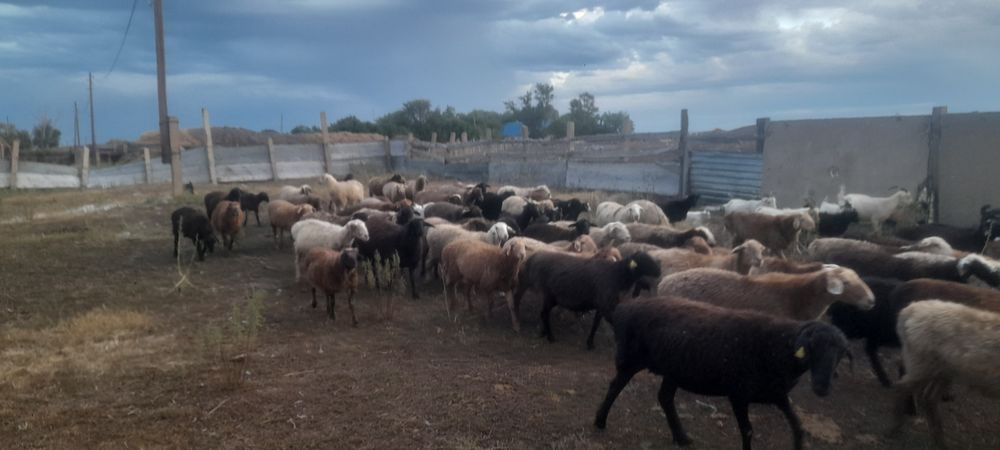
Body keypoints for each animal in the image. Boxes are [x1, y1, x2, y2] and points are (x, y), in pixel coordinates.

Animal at [512, 250, 660, 349]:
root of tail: (534, 259)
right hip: (550, 295)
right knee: (544, 313)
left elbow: (596, 323)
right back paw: (550, 337)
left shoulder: (601, 304)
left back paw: (544, 333)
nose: (659, 271)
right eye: (644, 261)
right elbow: (615, 321)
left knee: (544, 313)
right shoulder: (606, 304)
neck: (616, 275)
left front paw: (590, 343)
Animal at [595, 296, 850, 450]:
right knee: (615, 386)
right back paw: (600, 421)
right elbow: (748, 430)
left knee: (665, 397)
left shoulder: (777, 394)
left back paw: (682, 437)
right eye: (812, 348)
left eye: (840, 354)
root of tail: (624, 307)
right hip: (630, 359)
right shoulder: (738, 394)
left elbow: (797, 426)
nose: (822, 387)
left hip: (675, 369)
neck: (778, 347)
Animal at [890, 300, 1000, 447]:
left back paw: (939, 440)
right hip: (921, 364)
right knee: (901, 387)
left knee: (928, 398)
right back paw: (894, 429)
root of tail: (908, 311)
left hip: (942, 370)